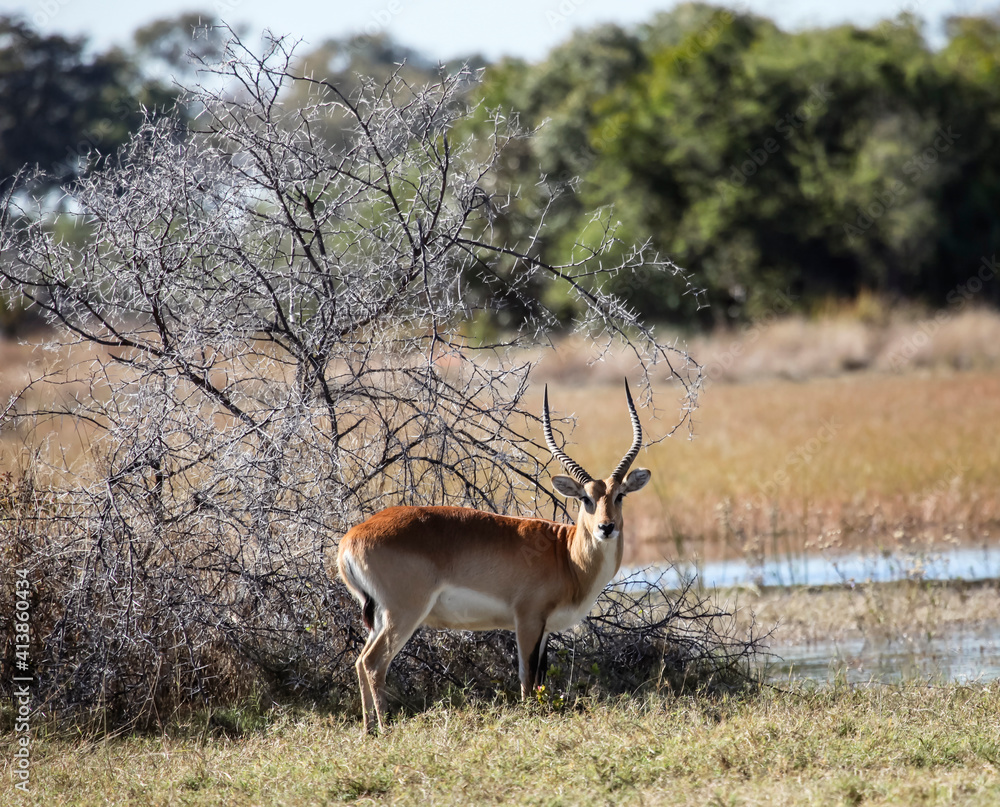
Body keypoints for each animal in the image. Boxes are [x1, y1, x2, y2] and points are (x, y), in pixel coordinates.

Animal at [335, 381, 651, 732]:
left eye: (619, 495)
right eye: (586, 498)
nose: (606, 527)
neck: (566, 555)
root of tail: (351, 538)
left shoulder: (544, 629)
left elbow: (540, 679)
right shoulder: (527, 620)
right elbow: (527, 678)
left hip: (379, 616)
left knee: (360, 662)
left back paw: (369, 730)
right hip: (402, 613)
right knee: (373, 663)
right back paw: (386, 727)